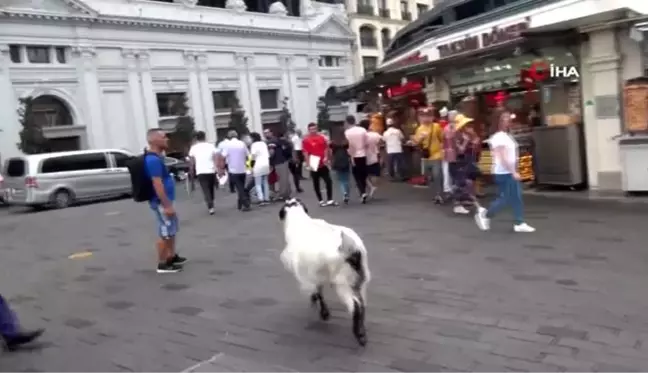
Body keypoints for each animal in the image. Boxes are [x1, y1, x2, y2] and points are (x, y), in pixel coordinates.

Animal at [278, 199, 370, 344]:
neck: (301, 223)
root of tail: (353, 249)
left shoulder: (307, 275)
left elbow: (317, 292)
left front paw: (324, 314)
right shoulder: (315, 273)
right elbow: (318, 290)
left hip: (342, 282)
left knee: (355, 306)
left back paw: (359, 335)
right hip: (361, 278)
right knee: (362, 304)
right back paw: (362, 332)